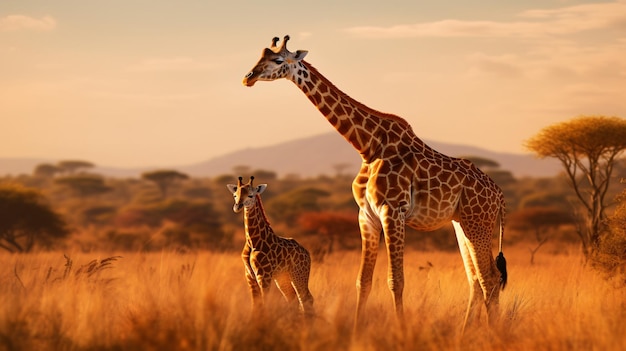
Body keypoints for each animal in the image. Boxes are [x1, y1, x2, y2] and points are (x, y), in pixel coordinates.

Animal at [225, 177, 314, 318]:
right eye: (235, 195)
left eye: (251, 195)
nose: (237, 207)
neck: (252, 241)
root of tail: (307, 253)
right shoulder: (249, 275)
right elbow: (255, 305)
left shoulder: (264, 275)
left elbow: (264, 303)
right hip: (282, 276)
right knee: (292, 297)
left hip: (299, 273)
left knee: (306, 298)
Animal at [241, 34, 504, 332]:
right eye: (260, 56)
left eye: (277, 60)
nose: (248, 78)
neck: (367, 147)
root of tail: (499, 194)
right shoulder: (366, 215)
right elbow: (362, 281)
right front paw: (356, 330)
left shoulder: (393, 211)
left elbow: (395, 280)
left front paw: (401, 331)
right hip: (461, 223)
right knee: (477, 279)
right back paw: (464, 332)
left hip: (478, 222)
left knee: (489, 278)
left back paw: (493, 333)